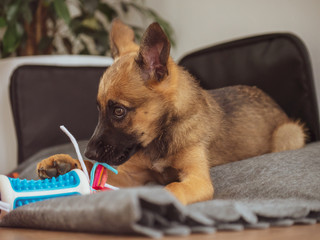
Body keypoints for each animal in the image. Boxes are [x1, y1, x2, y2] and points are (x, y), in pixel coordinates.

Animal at [37, 19, 304, 205]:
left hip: (290, 133)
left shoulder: (197, 179)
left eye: (119, 111)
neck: (161, 137)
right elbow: (92, 172)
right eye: (99, 109)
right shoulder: (132, 176)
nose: (88, 151)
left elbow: (174, 188)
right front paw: (64, 163)